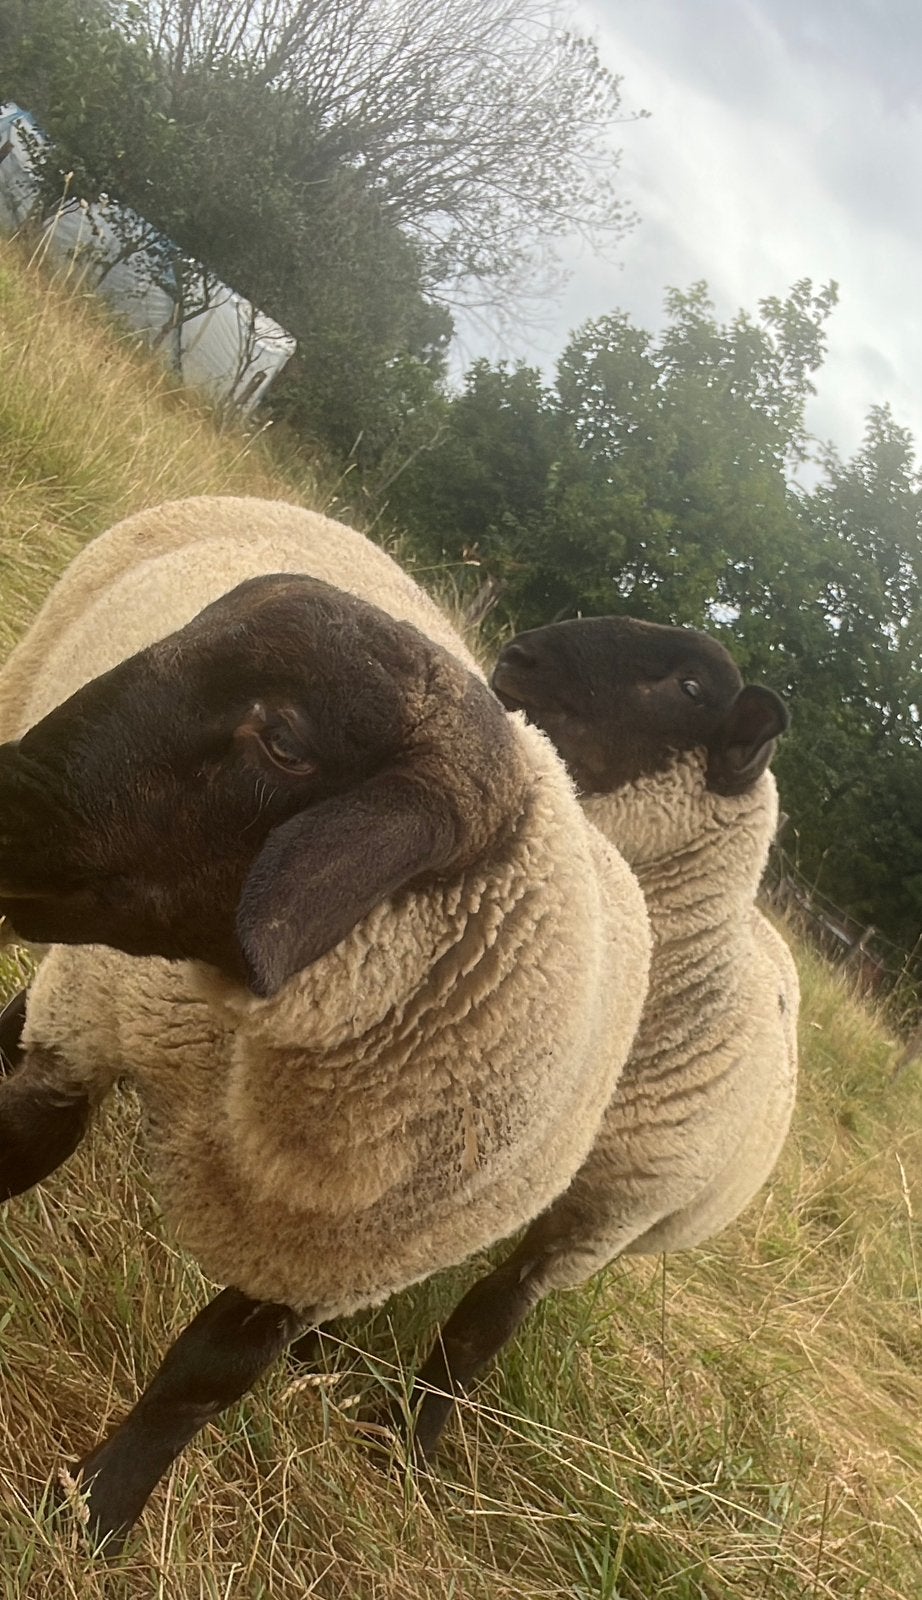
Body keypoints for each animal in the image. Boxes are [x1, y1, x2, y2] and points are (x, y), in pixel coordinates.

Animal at [0, 497, 651, 1551]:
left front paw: (94, 1516)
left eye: (286, 744)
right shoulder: (81, 1041)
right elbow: (11, 1151)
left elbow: (205, 1381)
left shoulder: (333, 1264)